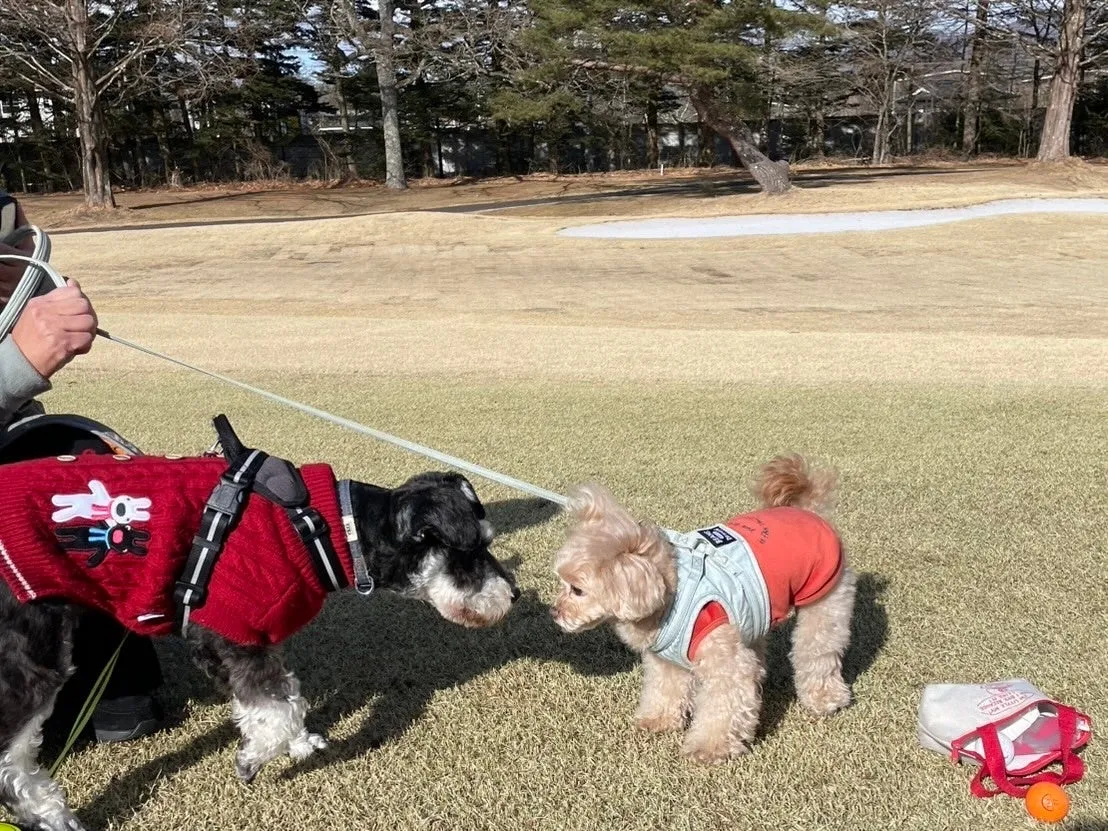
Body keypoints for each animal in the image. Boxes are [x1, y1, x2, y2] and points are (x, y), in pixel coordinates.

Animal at [0, 419, 518, 831]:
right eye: (472, 552)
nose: (512, 595)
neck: (325, 530)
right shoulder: (236, 634)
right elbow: (276, 706)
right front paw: (255, 757)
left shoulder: (243, 638)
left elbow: (283, 697)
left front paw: (301, 743)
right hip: (32, 654)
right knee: (11, 754)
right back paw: (50, 813)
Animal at [551, 454, 856, 764]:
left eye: (577, 590)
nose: (554, 613)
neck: (671, 596)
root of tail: (808, 510)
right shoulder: (667, 659)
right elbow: (665, 691)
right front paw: (658, 720)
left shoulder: (725, 664)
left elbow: (723, 706)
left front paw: (709, 748)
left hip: (825, 598)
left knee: (817, 652)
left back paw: (825, 699)